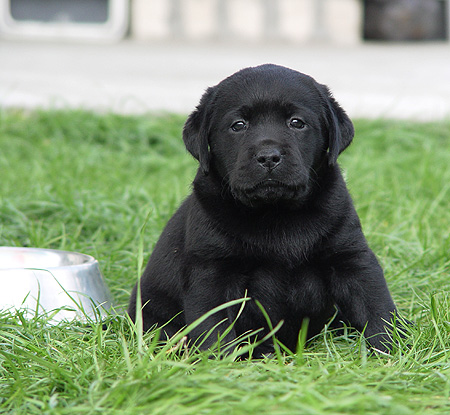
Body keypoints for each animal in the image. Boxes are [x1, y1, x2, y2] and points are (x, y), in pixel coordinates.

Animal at [128, 63, 402, 356]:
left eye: (296, 122)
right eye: (238, 125)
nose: (269, 156)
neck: (276, 212)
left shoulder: (350, 257)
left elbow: (376, 305)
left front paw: (395, 348)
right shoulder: (211, 272)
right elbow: (215, 327)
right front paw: (220, 361)